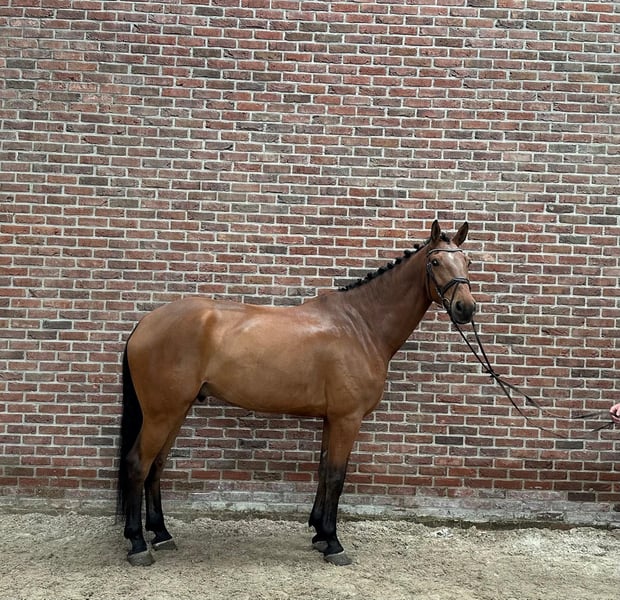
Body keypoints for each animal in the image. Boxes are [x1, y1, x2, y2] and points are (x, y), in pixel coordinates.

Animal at [117, 220, 476, 567]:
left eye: (468, 261)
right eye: (435, 261)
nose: (466, 308)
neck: (360, 326)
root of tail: (146, 322)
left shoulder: (332, 418)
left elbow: (323, 471)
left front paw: (319, 533)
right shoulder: (347, 419)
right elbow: (336, 476)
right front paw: (333, 543)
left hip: (177, 410)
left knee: (157, 465)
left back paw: (161, 534)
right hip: (162, 413)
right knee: (138, 463)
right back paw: (137, 544)